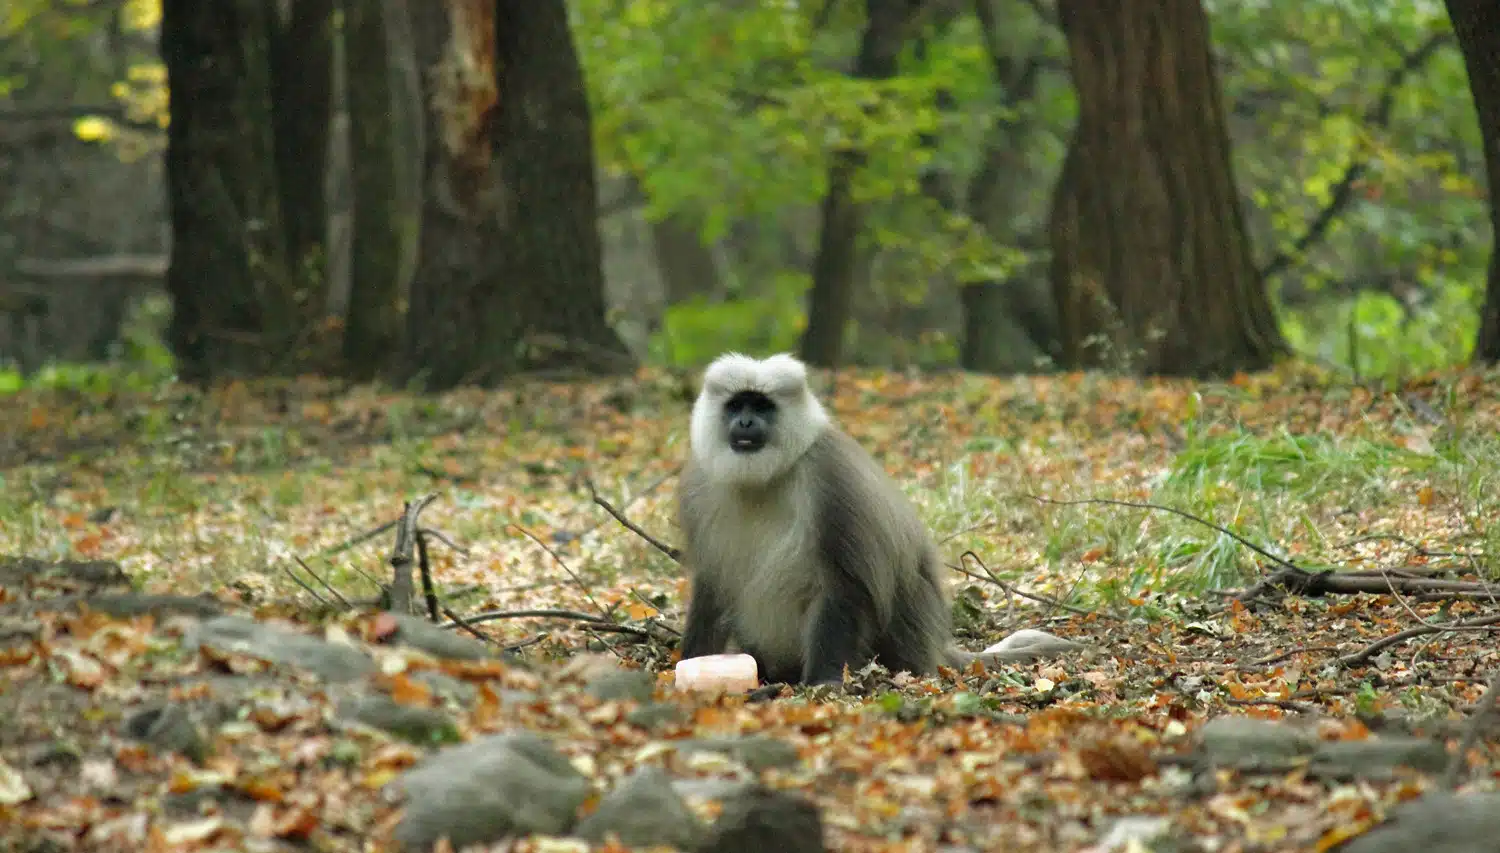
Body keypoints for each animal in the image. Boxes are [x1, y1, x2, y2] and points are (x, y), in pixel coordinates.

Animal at [681, 349, 1056, 680]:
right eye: (736, 405)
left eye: (762, 406)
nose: (745, 421)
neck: (764, 480)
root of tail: (932, 650)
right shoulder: (700, 488)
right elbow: (711, 588)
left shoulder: (830, 477)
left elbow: (847, 585)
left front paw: (823, 683)